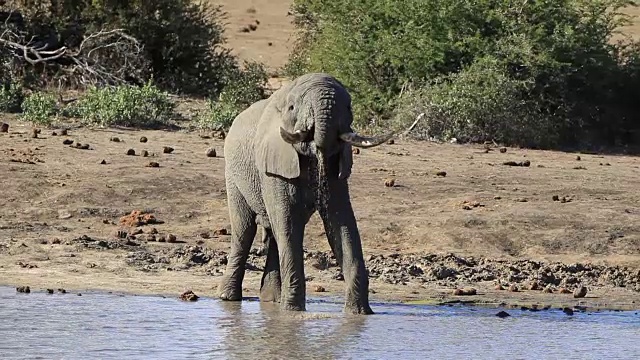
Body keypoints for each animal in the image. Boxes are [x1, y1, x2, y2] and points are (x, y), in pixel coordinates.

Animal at [218, 71, 422, 314]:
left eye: (349, 107)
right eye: (292, 108)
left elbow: (341, 223)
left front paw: (359, 313)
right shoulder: (273, 165)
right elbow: (288, 223)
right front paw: (292, 312)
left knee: (274, 235)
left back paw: (272, 301)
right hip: (233, 174)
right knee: (244, 229)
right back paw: (228, 298)